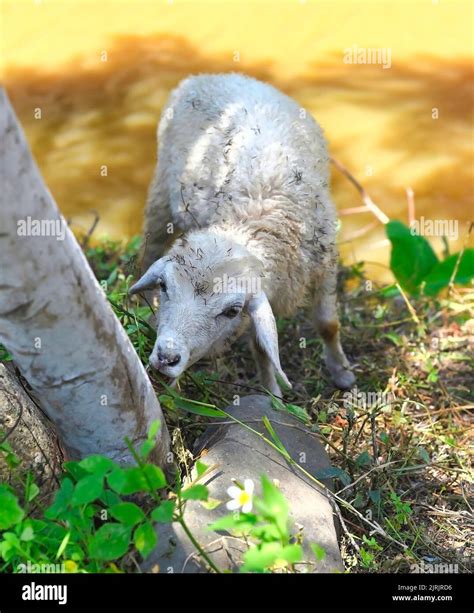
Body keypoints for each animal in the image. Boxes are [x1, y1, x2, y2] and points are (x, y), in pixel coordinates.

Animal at [131, 73, 356, 396]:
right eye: (164, 286)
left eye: (232, 310)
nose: (166, 356)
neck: (256, 216)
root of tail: (212, 75)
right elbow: (262, 348)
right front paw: (273, 395)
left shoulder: (324, 264)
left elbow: (328, 324)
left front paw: (342, 373)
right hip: (161, 192)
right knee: (149, 249)